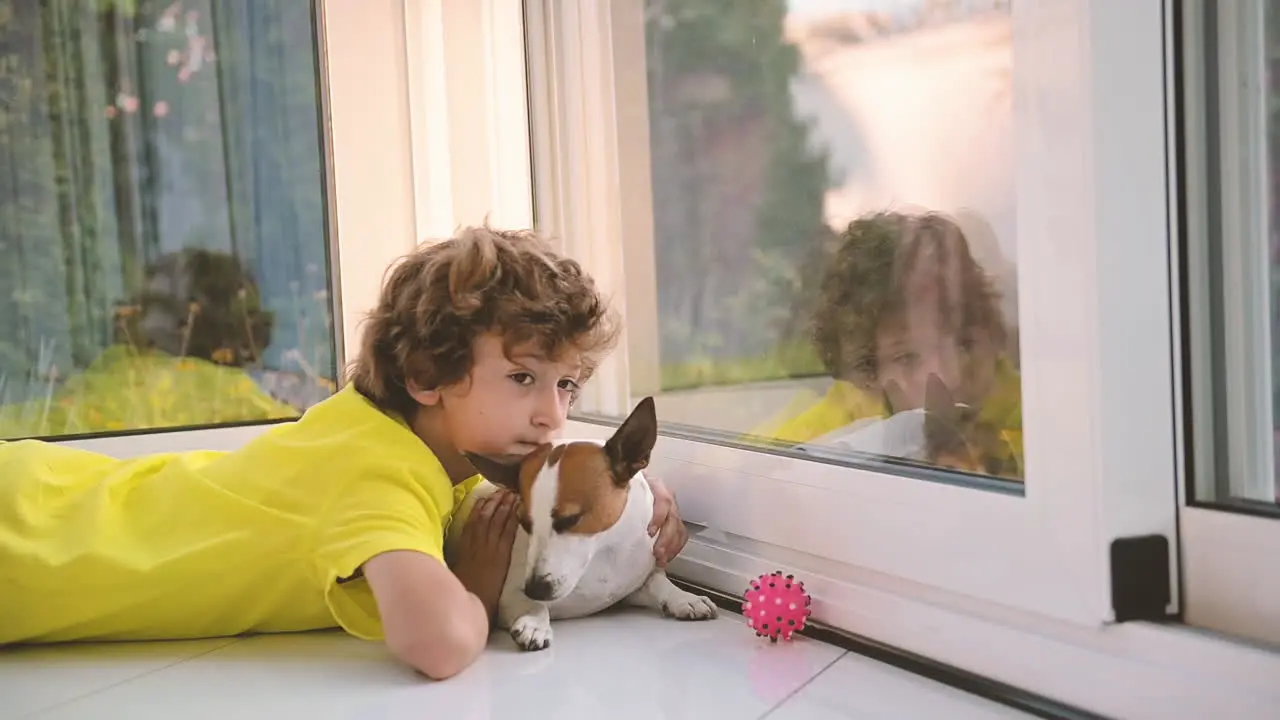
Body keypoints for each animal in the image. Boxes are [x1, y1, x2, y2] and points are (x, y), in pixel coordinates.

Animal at [445, 394, 716, 648]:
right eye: (523, 522)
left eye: (570, 519)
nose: (534, 590)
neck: (605, 551)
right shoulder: (509, 594)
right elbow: (530, 605)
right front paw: (534, 621)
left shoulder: (634, 585)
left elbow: (659, 582)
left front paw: (684, 597)